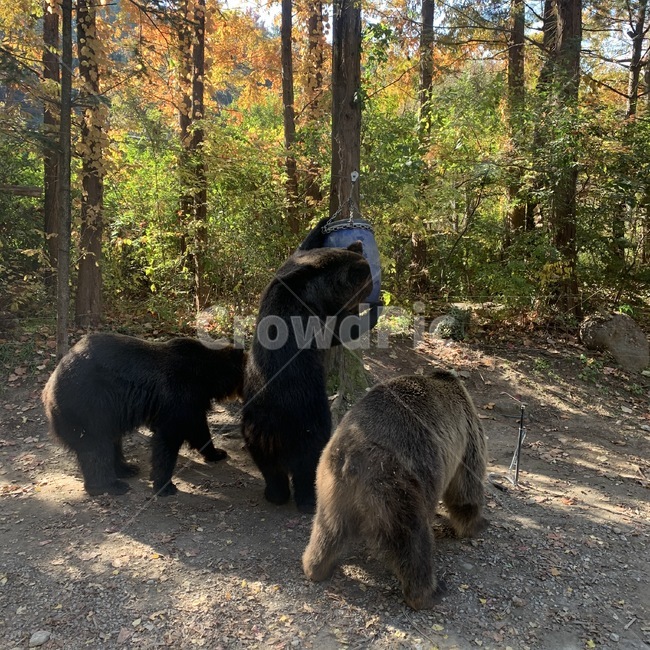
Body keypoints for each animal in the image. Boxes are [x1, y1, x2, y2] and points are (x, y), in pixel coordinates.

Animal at [42, 333, 245, 497]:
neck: (206, 377)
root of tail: (49, 385)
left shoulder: (192, 403)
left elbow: (198, 429)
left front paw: (217, 452)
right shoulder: (178, 396)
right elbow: (168, 439)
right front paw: (165, 485)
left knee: (111, 441)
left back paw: (127, 468)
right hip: (88, 404)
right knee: (96, 446)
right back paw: (111, 486)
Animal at [241, 242, 372, 514]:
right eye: (368, 285)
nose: (372, 293)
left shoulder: (288, 270)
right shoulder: (315, 313)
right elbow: (337, 332)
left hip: (255, 430)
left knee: (270, 468)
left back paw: (274, 493)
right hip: (308, 417)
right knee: (308, 462)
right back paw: (308, 500)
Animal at [302, 369, 489, 610]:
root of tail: (351, 460)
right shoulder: (467, 437)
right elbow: (466, 488)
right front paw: (477, 523)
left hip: (331, 490)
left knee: (327, 530)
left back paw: (315, 567)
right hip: (398, 488)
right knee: (414, 542)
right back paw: (430, 592)